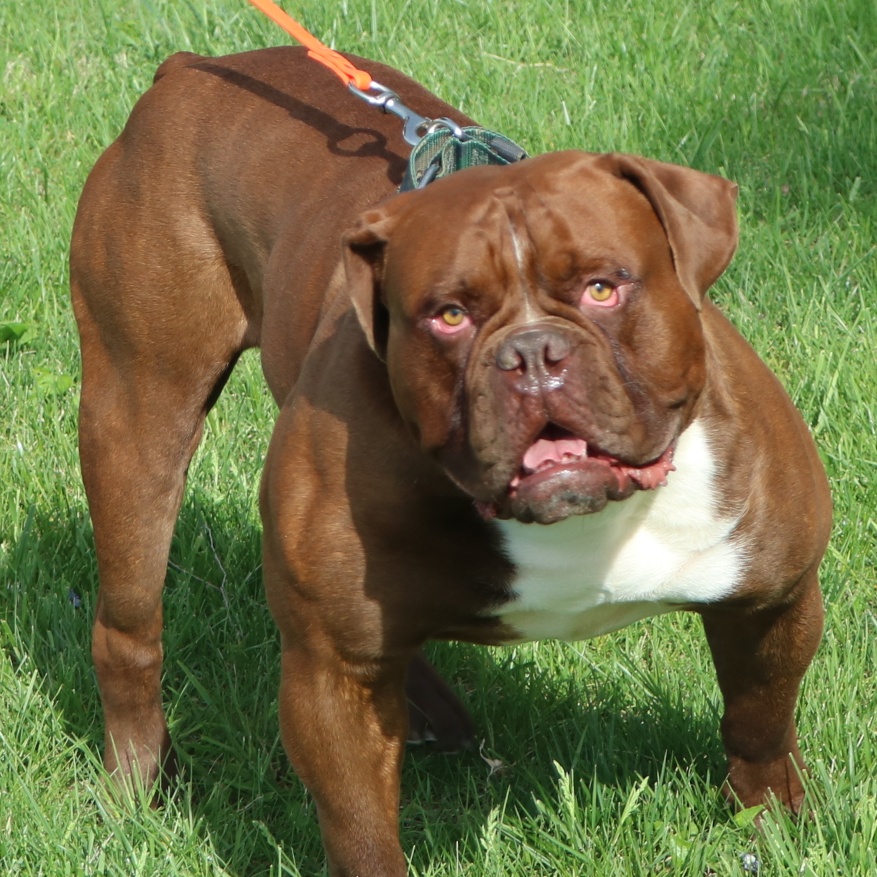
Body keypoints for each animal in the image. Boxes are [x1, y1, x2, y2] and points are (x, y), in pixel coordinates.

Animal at [73, 49, 828, 876]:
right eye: (450, 315)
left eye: (602, 286)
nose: (530, 353)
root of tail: (193, 68)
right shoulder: (330, 674)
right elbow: (360, 827)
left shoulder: (771, 597)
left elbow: (759, 718)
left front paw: (772, 820)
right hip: (138, 411)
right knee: (129, 627)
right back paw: (140, 779)